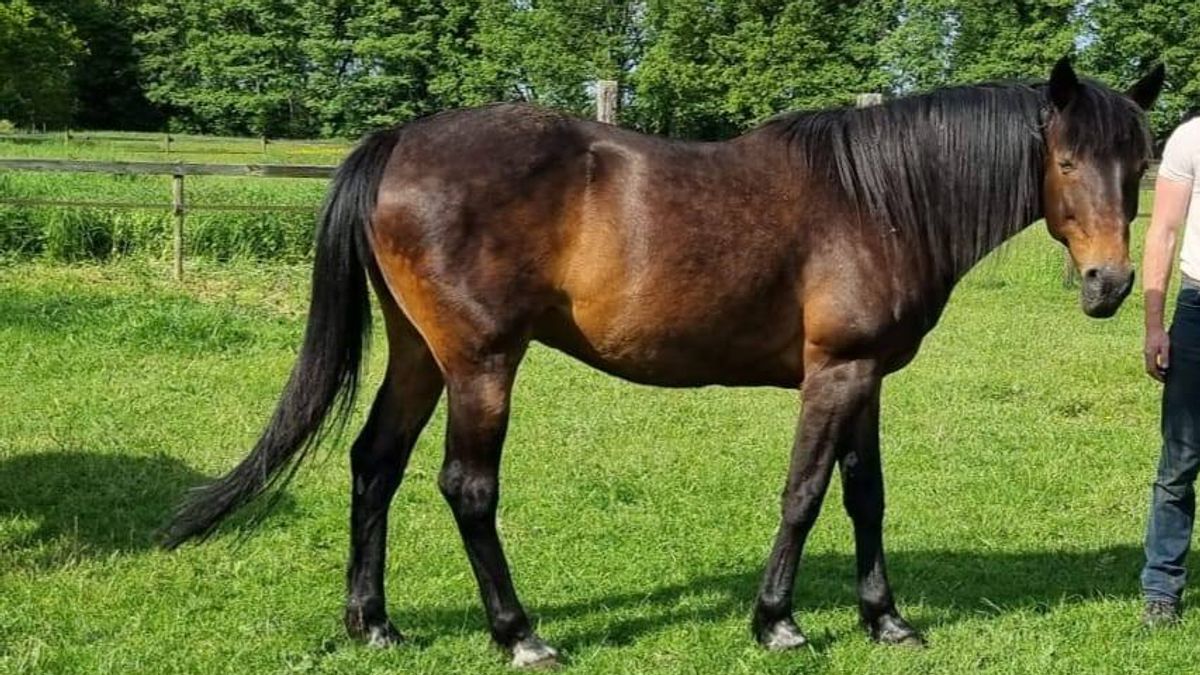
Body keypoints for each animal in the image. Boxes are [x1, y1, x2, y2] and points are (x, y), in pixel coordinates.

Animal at [163, 58, 1164, 667]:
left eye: (1142, 165)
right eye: (1066, 161)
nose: (1110, 282)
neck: (876, 200)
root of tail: (399, 140)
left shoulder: (866, 375)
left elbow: (865, 494)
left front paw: (886, 617)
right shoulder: (835, 372)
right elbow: (804, 494)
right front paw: (778, 620)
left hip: (420, 353)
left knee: (375, 464)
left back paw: (373, 622)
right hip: (481, 361)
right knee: (466, 486)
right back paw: (519, 633)